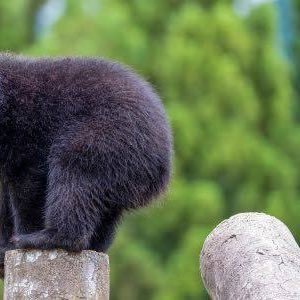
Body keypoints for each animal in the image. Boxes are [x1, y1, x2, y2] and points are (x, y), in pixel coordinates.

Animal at [0, 54, 172, 262]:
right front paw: (3, 247)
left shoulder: (26, 131)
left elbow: (28, 182)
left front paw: (19, 237)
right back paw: (96, 245)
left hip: (105, 138)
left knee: (73, 176)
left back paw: (44, 238)